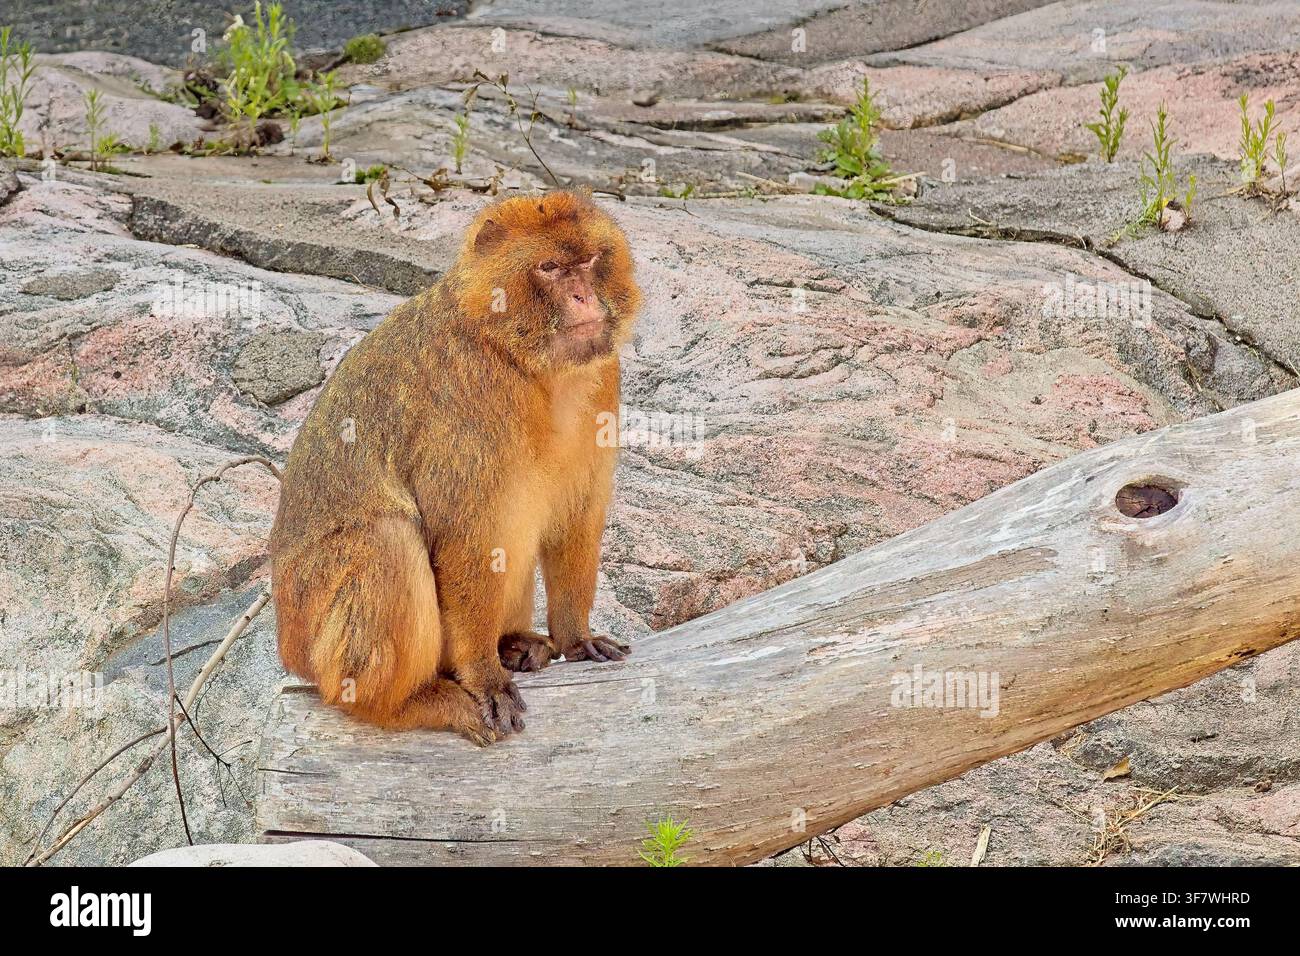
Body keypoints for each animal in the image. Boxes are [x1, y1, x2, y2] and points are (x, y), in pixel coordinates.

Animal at [268, 191, 642, 745]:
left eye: (591, 261)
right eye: (550, 268)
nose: (584, 299)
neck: (519, 357)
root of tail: (290, 650)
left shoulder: (602, 375)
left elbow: (576, 513)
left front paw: (576, 636)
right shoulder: (470, 393)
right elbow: (469, 539)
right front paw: (484, 676)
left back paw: (511, 643)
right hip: (321, 643)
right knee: (388, 538)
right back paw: (406, 701)